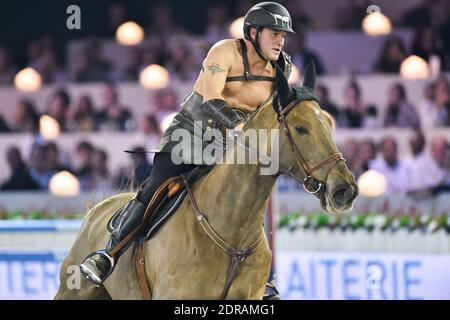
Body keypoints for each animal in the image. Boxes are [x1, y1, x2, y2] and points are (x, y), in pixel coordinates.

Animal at [55, 63, 358, 300]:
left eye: (329, 124)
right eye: (300, 128)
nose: (345, 189)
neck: (231, 233)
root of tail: (98, 209)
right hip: (72, 291)